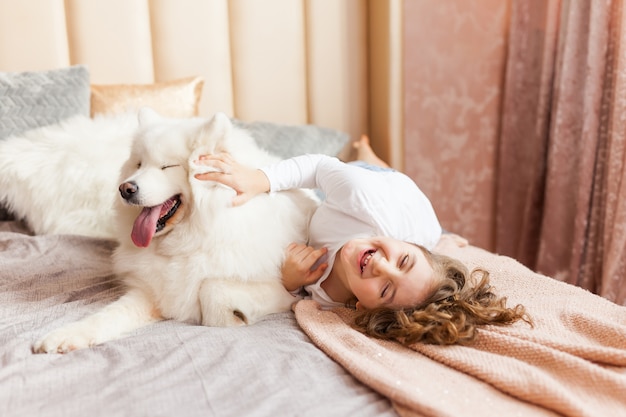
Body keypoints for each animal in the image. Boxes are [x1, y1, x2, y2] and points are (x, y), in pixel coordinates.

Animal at [34, 109, 316, 352]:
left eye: (167, 167)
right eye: (138, 164)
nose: (125, 189)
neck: (186, 241)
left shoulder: (281, 290)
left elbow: (212, 289)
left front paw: (232, 317)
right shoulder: (152, 292)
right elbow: (107, 316)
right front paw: (65, 336)